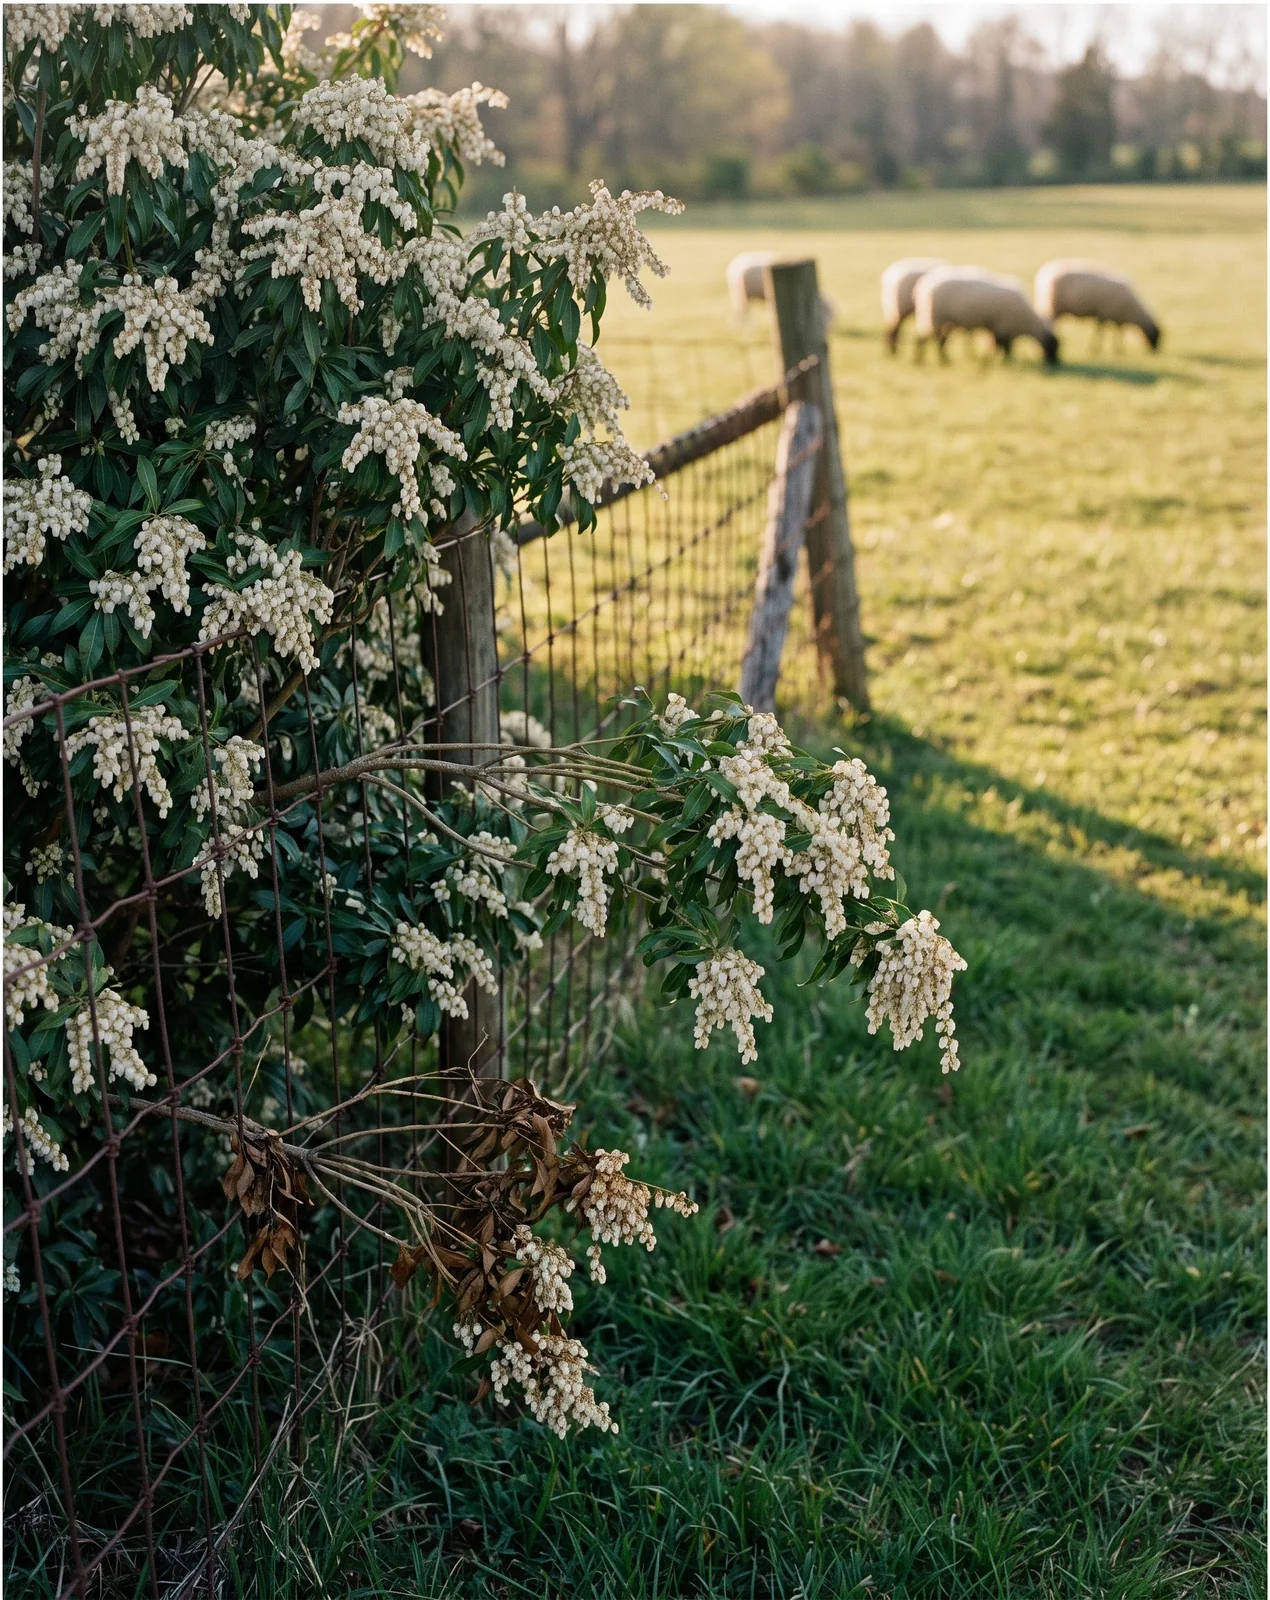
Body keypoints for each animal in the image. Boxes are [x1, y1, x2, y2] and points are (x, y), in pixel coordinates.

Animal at [913, 265, 1059, 366]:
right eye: (1053, 347)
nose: (1054, 363)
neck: (1028, 323)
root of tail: (923, 285)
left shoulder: (998, 329)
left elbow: (999, 346)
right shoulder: (1004, 328)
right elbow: (1006, 348)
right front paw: (1007, 361)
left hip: (942, 320)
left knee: (939, 340)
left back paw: (940, 359)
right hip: (935, 317)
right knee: (927, 339)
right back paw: (926, 360)